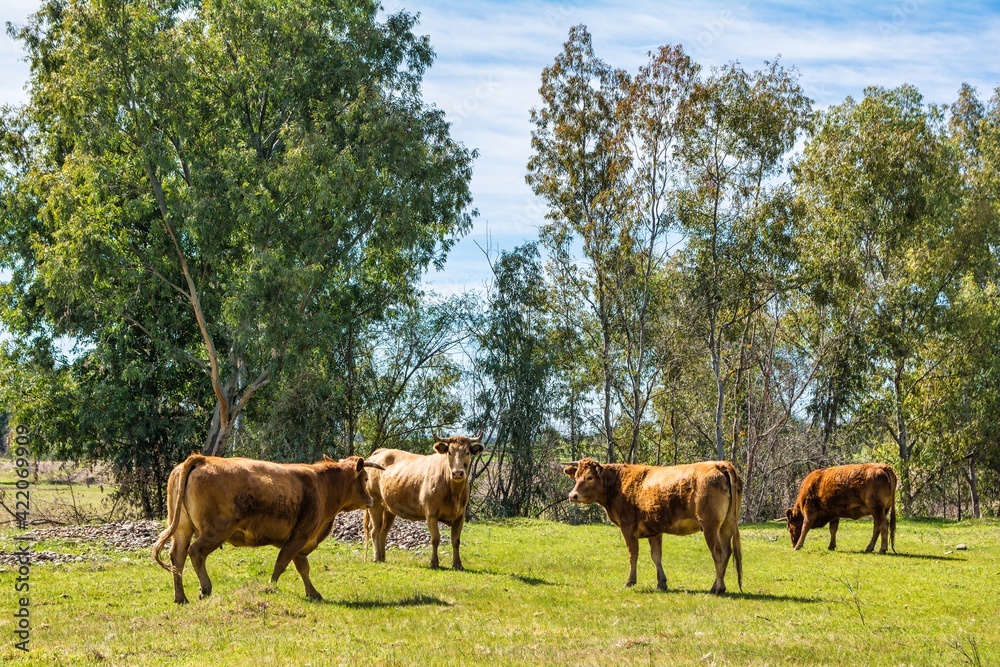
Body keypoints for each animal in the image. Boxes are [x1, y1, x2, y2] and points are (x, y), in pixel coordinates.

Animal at [151, 454, 382, 604]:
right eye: (365, 478)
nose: (371, 500)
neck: (322, 484)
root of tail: (202, 459)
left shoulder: (301, 541)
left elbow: (303, 568)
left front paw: (313, 593)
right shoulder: (300, 536)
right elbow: (282, 563)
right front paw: (271, 586)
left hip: (182, 529)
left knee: (177, 556)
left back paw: (180, 597)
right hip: (216, 530)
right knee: (196, 552)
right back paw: (205, 589)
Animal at [364, 436, 484, 572]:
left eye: (467, 452)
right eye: (449, 452)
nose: (457, 473)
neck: (454, 492)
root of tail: (380, 452)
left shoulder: (460, 515)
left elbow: (456, 540)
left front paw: (458, 565)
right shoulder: (431, 513)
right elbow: (435, 538)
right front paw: (434, 563)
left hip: (389, 508)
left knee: (384, 531)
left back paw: (382, 557)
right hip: (375, 502)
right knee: (375, 530)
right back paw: (376, 557)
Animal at [564, 460, 744, 596]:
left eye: (589, 477)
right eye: (576, 477)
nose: (572, 495)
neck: (619, 484)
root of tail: (719, 464)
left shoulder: (627, 528)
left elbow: (633, 555)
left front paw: (630, 581)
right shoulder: (654, 531)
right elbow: (656, 556)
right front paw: (661, 583)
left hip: (710, 526)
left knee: (718, 553)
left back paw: (718, 588)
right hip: (726, 525)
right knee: (727, 552)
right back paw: (716, 586)